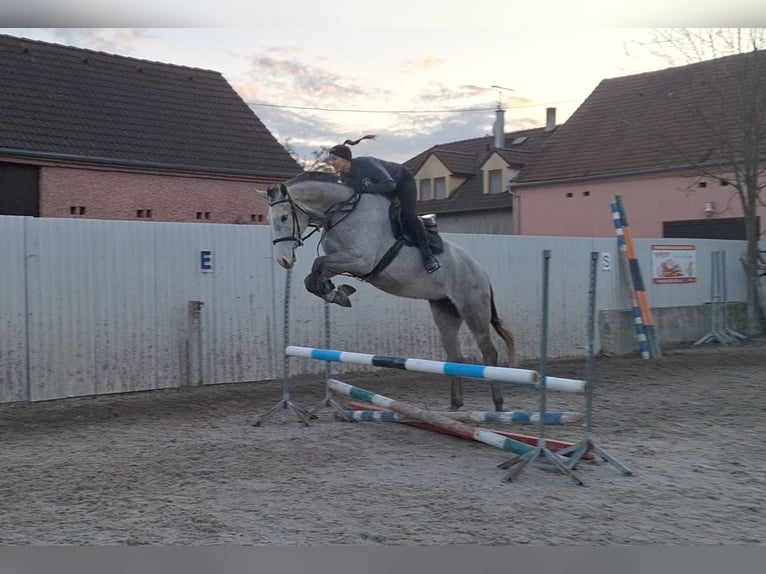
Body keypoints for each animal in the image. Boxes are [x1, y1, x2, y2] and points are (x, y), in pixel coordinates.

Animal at [260, 172, 520, 414]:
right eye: (269, 219)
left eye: (284, 217)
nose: (284, 260)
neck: (340, 212)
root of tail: (481, 270)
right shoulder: (342, 261)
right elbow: (314, 274)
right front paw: (336, 293)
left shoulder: (360, 260)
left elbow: (318, 264)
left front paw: (335, 292)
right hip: (445, 311)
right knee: (455, 356)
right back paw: (455, 405)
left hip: (473, 310)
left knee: (489, 353)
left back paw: (498, 405)